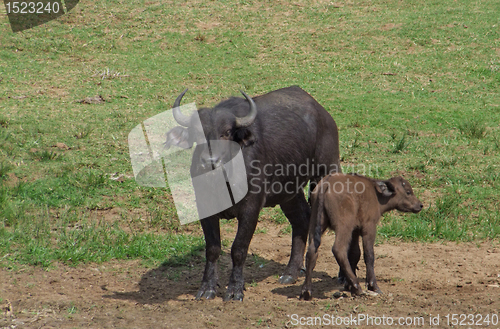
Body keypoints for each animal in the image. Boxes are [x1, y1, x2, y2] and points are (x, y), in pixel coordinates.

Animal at [164, 85, 340, 300]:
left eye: (226, 132)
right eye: (198, 134)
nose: (210, 161)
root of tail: (323, 114)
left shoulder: (251, 207)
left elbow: (239, 248)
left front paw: (235, 289)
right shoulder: (204, 206)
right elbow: (212, 249)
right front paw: (207, 287)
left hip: (327, 170)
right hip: (288, 192)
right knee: (302, 219)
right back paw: (290, 272)